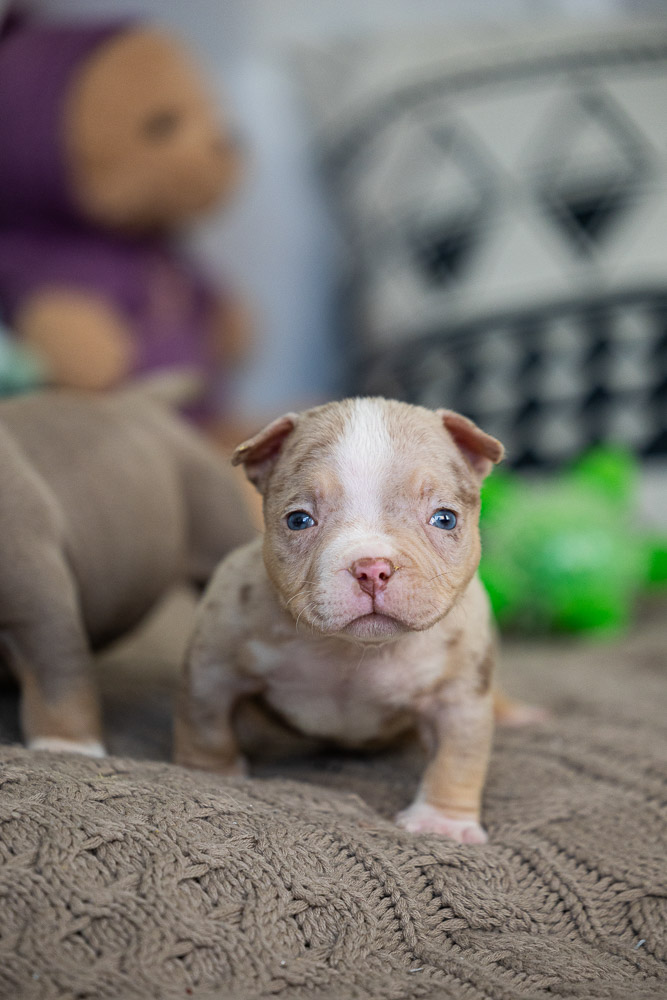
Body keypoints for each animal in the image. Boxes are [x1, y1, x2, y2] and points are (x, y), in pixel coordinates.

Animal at [175, 397, 535, 843]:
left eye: (445, 518)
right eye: (298, 520)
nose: (372, 568)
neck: (354, 649)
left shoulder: (459, 695)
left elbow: (458, 758)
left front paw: (442, 824)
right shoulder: (213, 665)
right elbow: (205, 724)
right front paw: (210, 774)